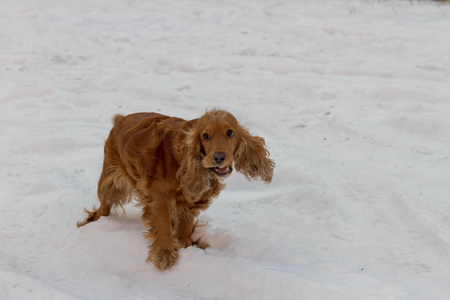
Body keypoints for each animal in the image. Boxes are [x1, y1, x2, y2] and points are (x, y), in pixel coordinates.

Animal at [77, 109, 274, 270]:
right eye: (205, 136)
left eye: (230, 132)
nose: (219, 157)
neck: (184, 160)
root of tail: (121, 119)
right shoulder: (158, 197)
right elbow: (163, 226)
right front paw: (165, 255)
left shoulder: (190, 199)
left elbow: (185, 225)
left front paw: (187, 245)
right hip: (110, 182)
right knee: (103, 208)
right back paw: (91, 222)